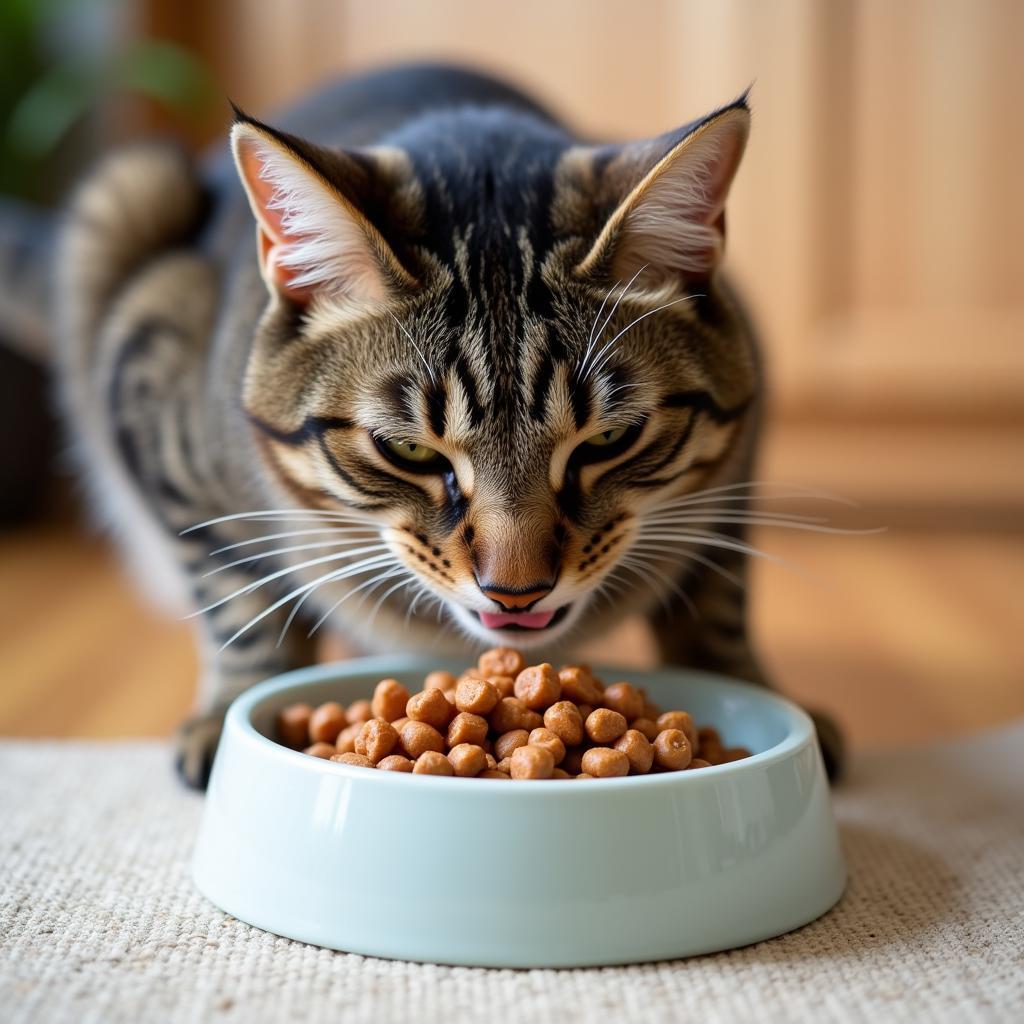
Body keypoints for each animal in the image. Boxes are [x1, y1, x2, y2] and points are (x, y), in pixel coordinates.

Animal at [6, 61, 839, 782]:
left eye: (609, 439)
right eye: (405, 449)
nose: (515, 592)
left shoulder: (737, 457)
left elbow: (717, 603)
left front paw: (756, 689)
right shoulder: (161, 415)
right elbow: (240, 604)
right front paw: (228, 715)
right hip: (128, 198)